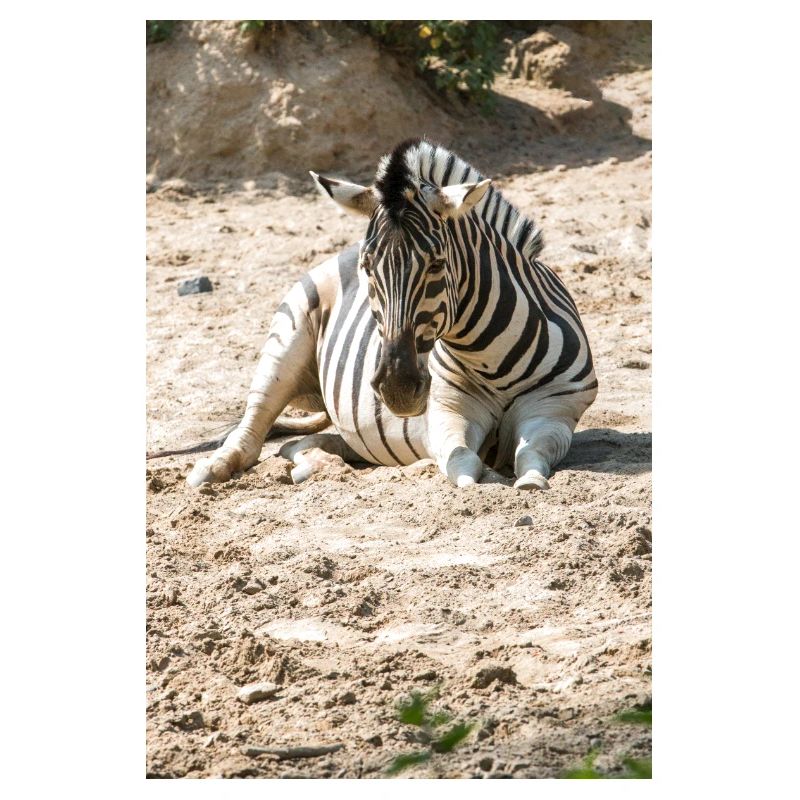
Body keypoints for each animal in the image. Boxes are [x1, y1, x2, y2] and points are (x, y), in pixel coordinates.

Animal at [186, 138, 598, 490]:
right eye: (368, 266)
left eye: (437, 264)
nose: (396, 388)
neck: (489, 357)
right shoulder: (447, 411)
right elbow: (463, 463)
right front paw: (484, 478)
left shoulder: (556, 409)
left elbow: (531, 454)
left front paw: (529, 480)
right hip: (286, 340)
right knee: (254, 423)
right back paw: (212, 469)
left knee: (304, 444)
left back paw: (314, 464)